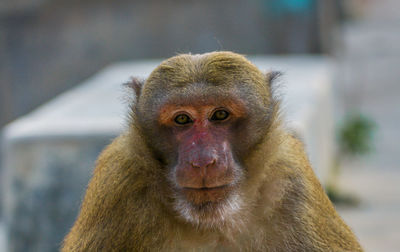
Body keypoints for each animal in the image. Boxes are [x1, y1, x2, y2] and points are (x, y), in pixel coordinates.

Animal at [61, 51, 362, 252]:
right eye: (182, 119)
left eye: (220, 115)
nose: (203, 160)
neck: (212, 225)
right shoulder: (119, 182)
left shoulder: (292, 182)